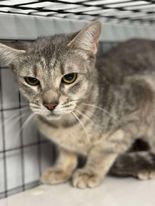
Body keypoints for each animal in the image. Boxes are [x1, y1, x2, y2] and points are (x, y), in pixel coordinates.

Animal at [0, 21, 155, 188]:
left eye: (69, 78)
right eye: (32, 80)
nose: (50, 104)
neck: (65, 127)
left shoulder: (137, 104)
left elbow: (105, 148)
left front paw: (90, 171)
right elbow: (65, 151)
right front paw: (61, 168)